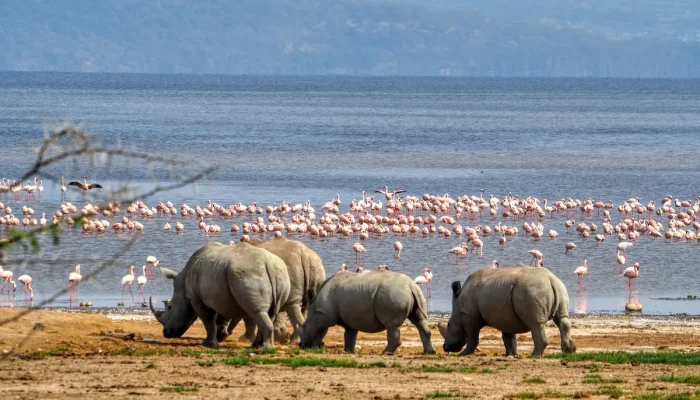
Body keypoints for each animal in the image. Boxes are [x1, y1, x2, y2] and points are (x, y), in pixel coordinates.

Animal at [149, 242, 290, 349]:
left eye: (170, 308)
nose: (165, 333)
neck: (182, 283)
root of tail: (268, 263)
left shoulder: (197, 299)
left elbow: (208, 321)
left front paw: (209, 344)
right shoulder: (221, 296)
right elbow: (220, 317)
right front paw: (220, 337)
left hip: (249, 273)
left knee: (256, 311)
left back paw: (266, 349)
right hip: (280, 273)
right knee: (269, 312)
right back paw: (256, 346)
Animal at [299, 270, 435, 355]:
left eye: (303, 326)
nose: (301, 345)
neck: (314, 305)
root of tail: (411, 286)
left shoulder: (324, 314)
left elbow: (315, 327)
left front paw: (318, 345)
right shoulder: (349, 319)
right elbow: (349, 334)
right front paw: (348, 351)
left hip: (393, 294)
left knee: (392, 325)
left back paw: (386, 352)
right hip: (414, 293)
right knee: (419, 320)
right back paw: (428, 352)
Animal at [439, 265, 576, 357]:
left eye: (449, 325)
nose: (445, 347)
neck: (458, 305)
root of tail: (550, 279)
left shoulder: (469, 315)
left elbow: (472, 336)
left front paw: (464, 354)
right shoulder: (505, 316)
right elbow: (508, 336)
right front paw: (511, 354)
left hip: (532, 291)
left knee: (536, 324)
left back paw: (535, 355)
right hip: (559, 287)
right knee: (562, 319)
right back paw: (569, 350)